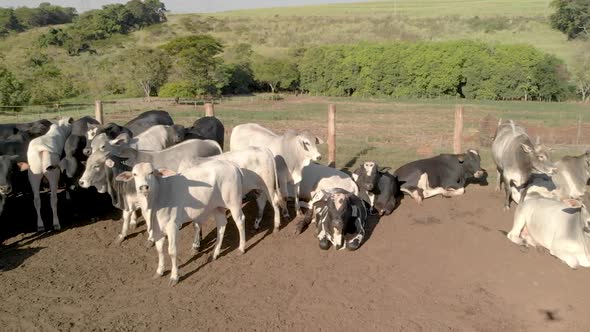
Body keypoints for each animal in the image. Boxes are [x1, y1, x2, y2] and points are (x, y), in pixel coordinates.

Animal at [115, 161, 247, 286]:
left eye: (151, 172)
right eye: (134, 174)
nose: (143, 187)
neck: (158, 197)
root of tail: (232, 165)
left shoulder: (172, 226)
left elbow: (172, 251)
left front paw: (174, 277)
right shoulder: (157, 228)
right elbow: (159, 249)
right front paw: (159, 271)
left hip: (233, 201)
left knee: (240, 221)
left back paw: (241, 248)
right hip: (217, 206)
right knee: (221, 225)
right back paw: (214, 253)